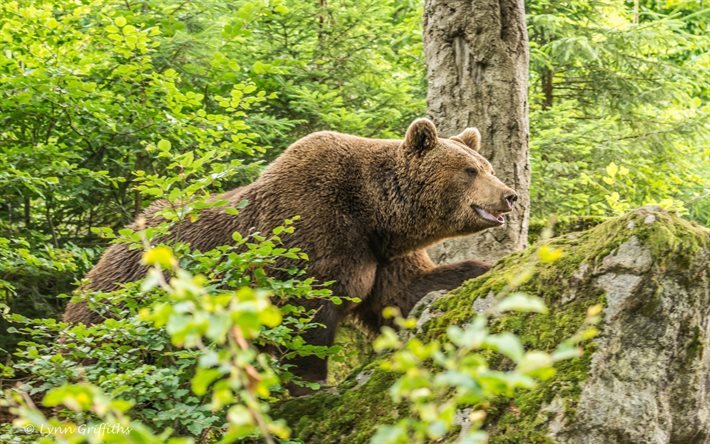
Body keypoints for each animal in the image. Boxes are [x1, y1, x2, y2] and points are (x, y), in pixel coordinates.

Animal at [62, 118, 516, 386]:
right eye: (470, 170)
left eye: (487, 166)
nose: (509, 195)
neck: (375, 214)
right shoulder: (312, 233)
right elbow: (306, 321)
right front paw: (309, 385)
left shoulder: (381, 256)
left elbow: (405, 293)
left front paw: (483, 268)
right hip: (124, 312)